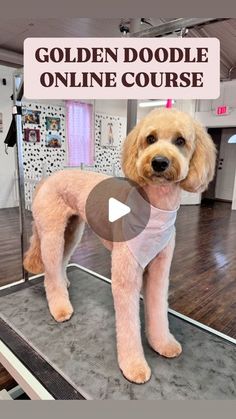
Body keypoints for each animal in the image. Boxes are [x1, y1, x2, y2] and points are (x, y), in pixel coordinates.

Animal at [24, 108, 216, 384]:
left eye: (180, 141)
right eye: (150, 138)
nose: (159, 162)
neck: (155, 207)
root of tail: (47, 179)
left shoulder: (160, 268)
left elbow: (158, 307)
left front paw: (162, 343)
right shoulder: (126, 273)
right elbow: (128, 323)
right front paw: (133, 365)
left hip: (72, 231)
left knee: (60, 261)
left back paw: (64, 282)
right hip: (51, 231)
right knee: (50, 271)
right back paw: (60, 306)